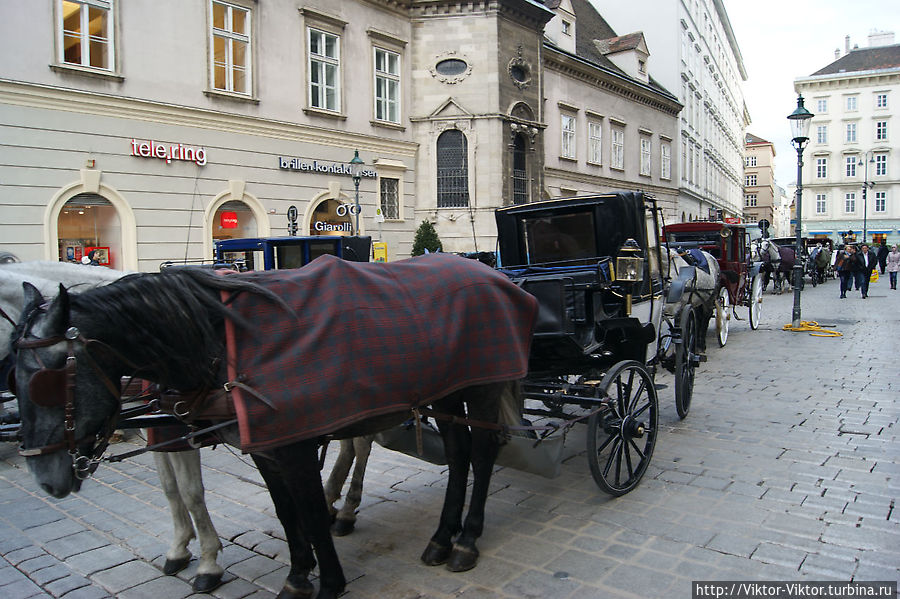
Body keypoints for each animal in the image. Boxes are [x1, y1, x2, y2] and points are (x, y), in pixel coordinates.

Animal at [0, 260, 225, 592]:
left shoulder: (180, 434)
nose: (44, 481)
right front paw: (179, 548)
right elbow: (171, 490)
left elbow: (191, 492)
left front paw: (209, 562)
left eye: (46, 383)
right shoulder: (156, 435)